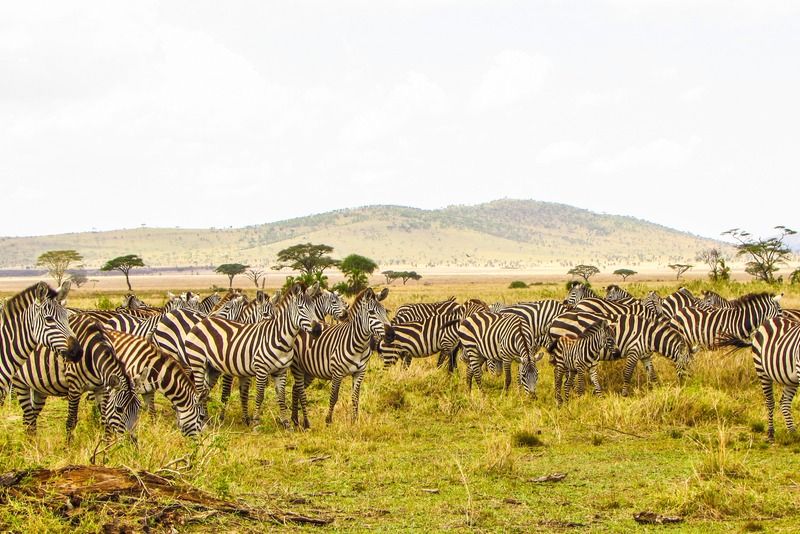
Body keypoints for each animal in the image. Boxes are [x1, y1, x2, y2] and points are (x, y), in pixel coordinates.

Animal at [13, 314, 141, 441]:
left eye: (138, 409)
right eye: (119, 409)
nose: (132, 441)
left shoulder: (101, 388)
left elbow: (106, 421)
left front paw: (106, 445)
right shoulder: (74, 387)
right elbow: (71, 421)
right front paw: (68, 446)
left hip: (39, 388)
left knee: (30, 418)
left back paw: (33, 443)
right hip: (20, 382)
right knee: (28, 418)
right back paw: (30, 443)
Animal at [184, 283, 321, 428]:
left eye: (314, 308)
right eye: (301, 308)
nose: (318, 330)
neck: (280, 339)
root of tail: (202, 321)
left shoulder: (281, 371)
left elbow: (281, 397)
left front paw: (286, 424)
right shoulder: (261, 370)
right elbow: (259, 396)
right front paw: (255, 423)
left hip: (212, 368)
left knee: (204, 391)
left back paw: (206, 419)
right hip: (197, 362)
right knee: (200, 390)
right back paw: (203, 421)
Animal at [291, 288, 393, 428]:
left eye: (385, 311)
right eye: (371, 312)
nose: (392, 334)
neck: (359, 345)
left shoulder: (360, 372)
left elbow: (355, 397)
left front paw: (354, 420)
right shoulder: (337, 373)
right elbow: (334, 396)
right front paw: (328, 421)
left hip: (309, 371)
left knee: (295, 388)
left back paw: (295, 420)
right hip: (298, 368)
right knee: (299, 390)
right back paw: (299, 421)